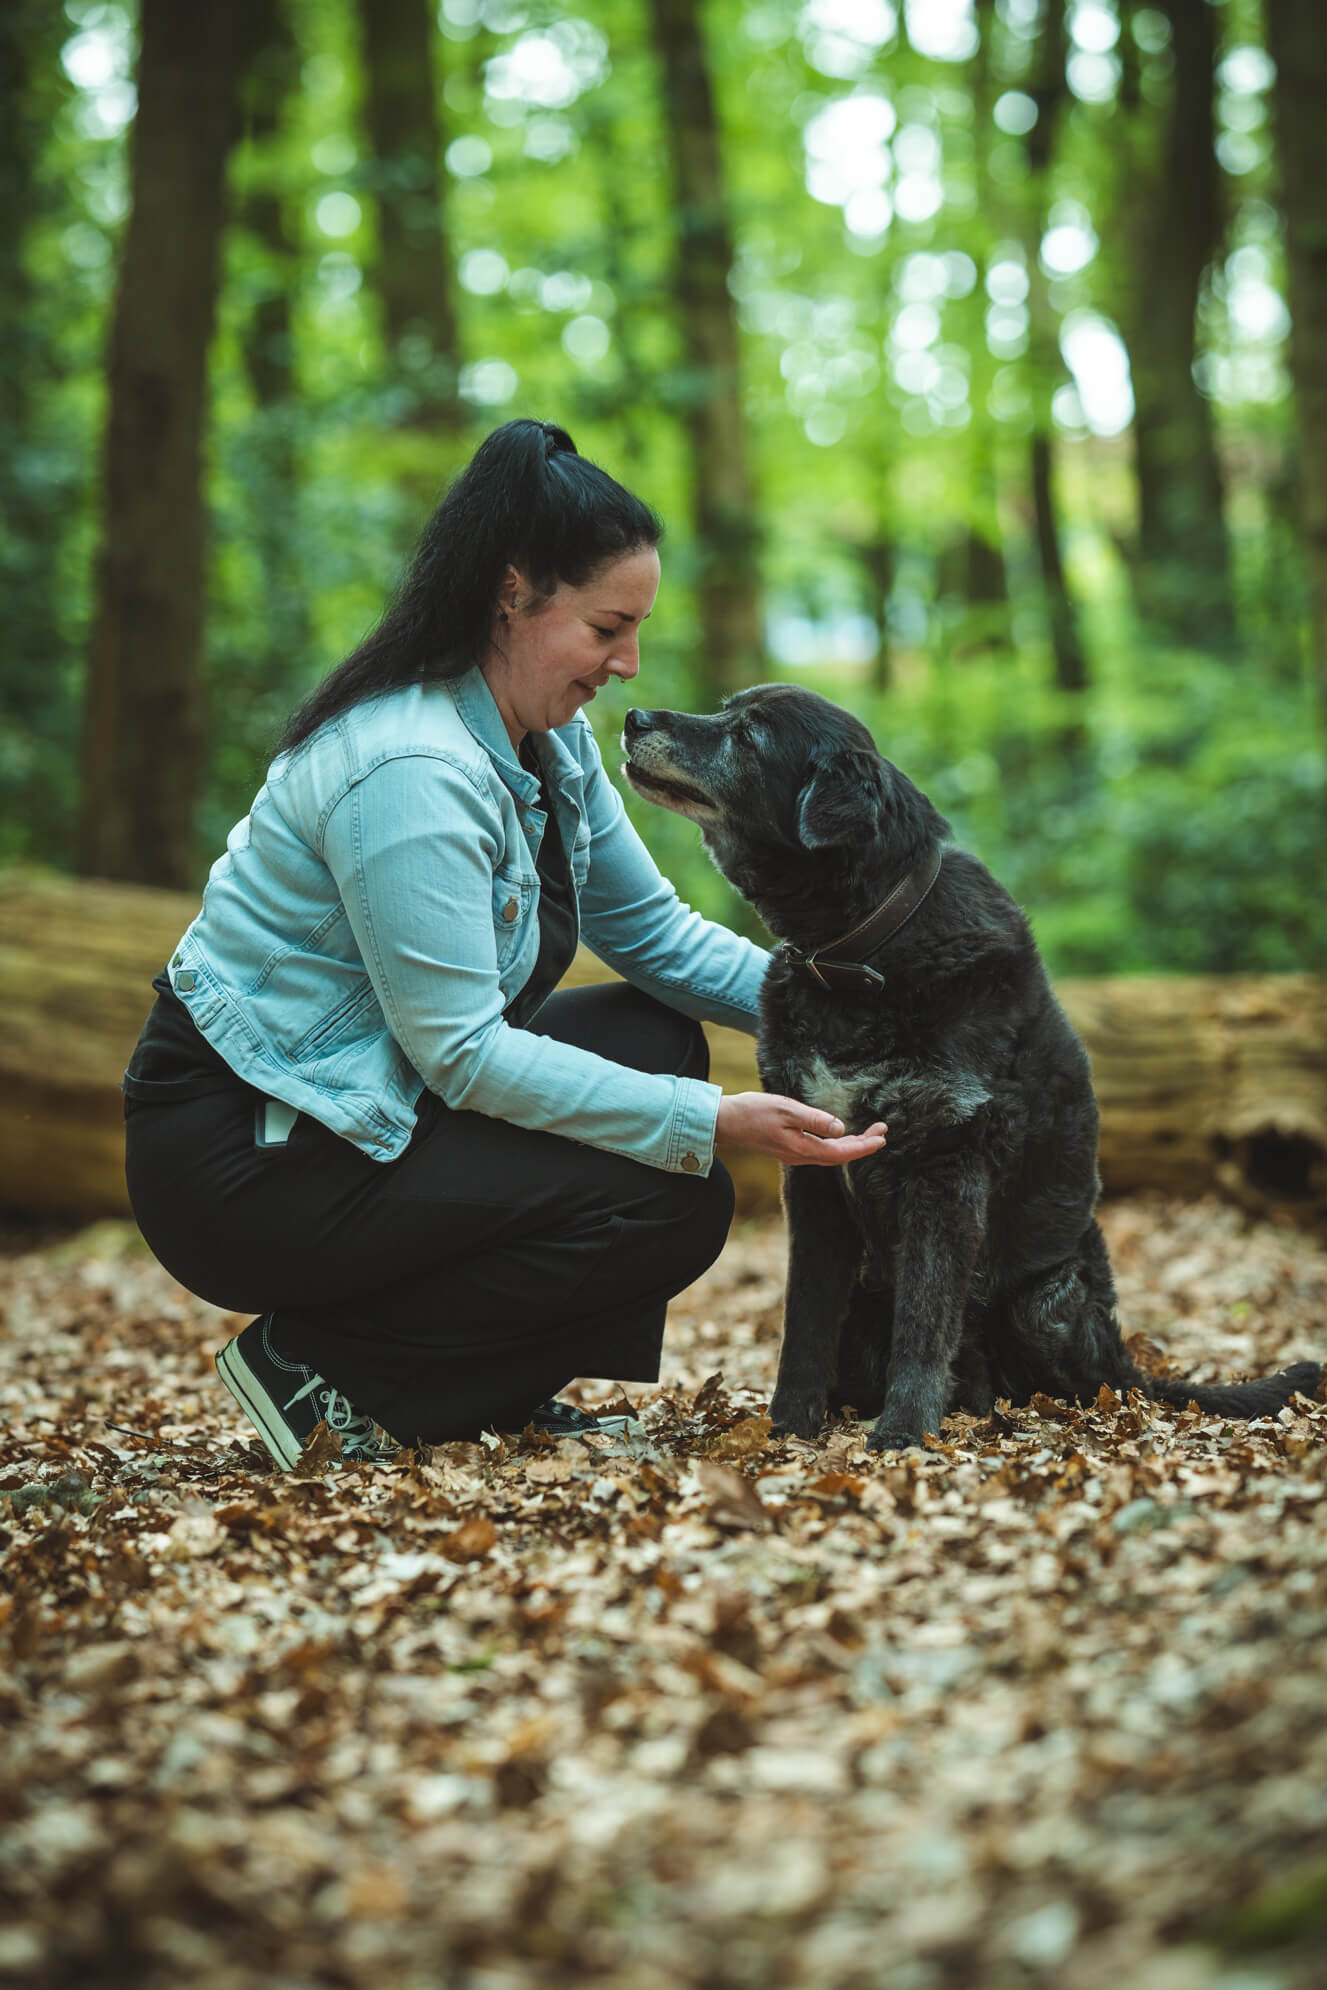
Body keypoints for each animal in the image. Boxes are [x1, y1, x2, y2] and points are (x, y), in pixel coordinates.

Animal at [624, 684, 1327, 1448]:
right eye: (726, 710)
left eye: (747, 736)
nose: (632, 717)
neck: (858, 954)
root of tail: (1123, 1360)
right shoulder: (811, 1171)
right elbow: (804, 1322)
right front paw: (787, 1427)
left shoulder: (947, 1163)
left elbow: (926, 1319)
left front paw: (903, 1431)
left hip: (1044, 1302)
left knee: (1063, 1383)